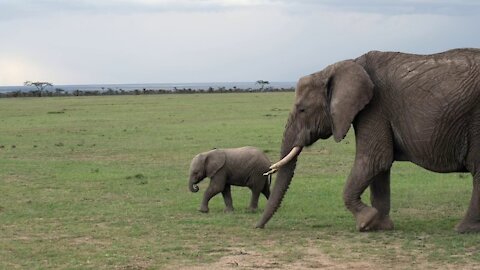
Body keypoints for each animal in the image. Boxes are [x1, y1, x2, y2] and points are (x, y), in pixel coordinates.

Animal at [258, 48, 480, 232]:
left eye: (303, 109)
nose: (257, 227)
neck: (342, 66)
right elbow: (381, 167)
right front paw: (381, 226)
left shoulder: (374, 108)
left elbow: (374, 160)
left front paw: (366, 222)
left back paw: (463, 229)